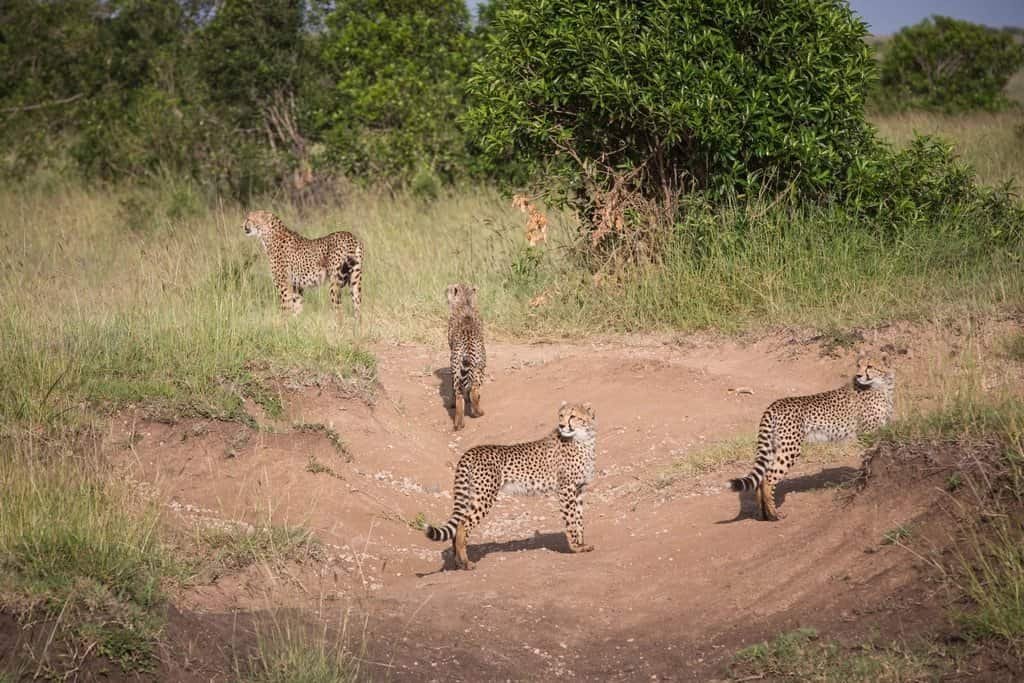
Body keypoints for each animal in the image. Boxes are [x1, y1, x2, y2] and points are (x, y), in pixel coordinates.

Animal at [425, 402, 598, 570]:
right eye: (561, 415)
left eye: (573, 416)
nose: (561, 426)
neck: (583, 439)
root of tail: (471, 451)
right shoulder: (566, 489)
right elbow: (571, 519)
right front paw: (575, 547)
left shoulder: (579, 489)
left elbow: (580, 518)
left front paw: (582, 544)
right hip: (484, 497)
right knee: (462, 525)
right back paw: (466, 563)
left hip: (471, 495)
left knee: (458, 524)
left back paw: (458, 563)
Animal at [446, 283, 486, 431]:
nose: (445, 291)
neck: (465, 302)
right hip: (479, 367)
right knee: (473, 390)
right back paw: (478, 413)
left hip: (458, 368)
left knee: (459, 395)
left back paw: (459, 423)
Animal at [729, 357, 895, 521]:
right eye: (859, 365)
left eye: (870, 366)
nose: (858, 375)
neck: (882, 385)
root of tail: (774, 404)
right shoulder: (867, 433)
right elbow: (868, 457)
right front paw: (865, 479)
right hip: (790, 449)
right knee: (768, 478)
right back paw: (774, 514)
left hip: (774, 447)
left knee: (762, 476)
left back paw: (763, 514)